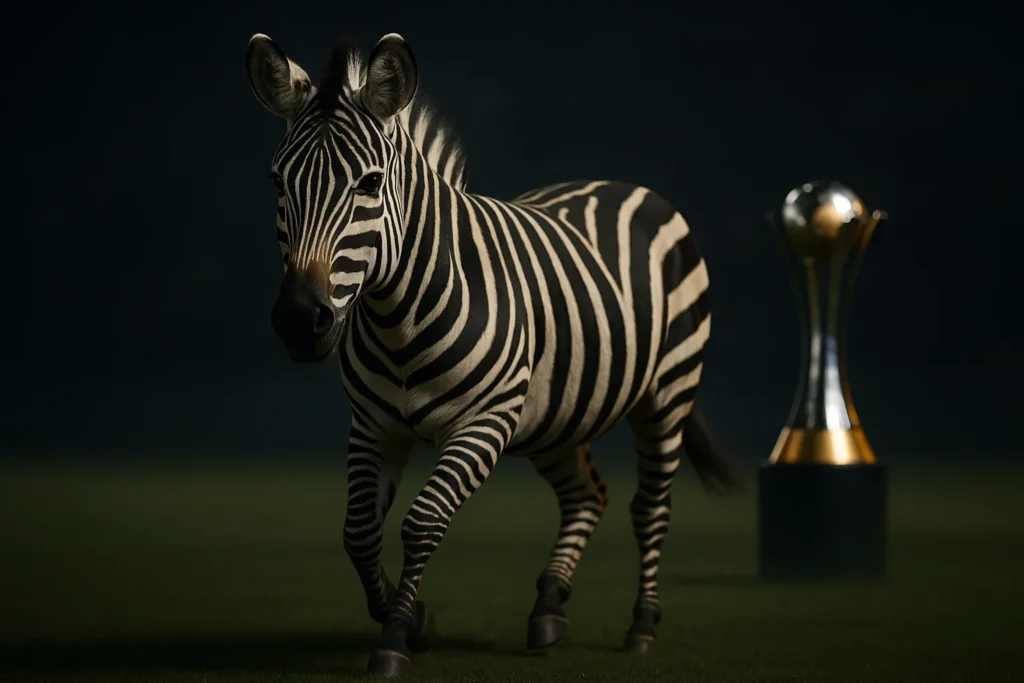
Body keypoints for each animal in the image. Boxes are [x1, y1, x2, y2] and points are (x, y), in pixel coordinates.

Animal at [245, 31, 740, 676]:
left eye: (371, 184)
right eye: (278, 183)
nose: (301, 321)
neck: (400, 317)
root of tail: (626, 186)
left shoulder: (483, 423)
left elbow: (422, 522)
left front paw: (398, 637)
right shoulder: (374, 426)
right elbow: (358, 532)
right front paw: (416, 620)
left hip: (667, 393)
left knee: (649, 507)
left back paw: (642, 627)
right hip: (554, 415)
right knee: (587, 496)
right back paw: (549, 609)